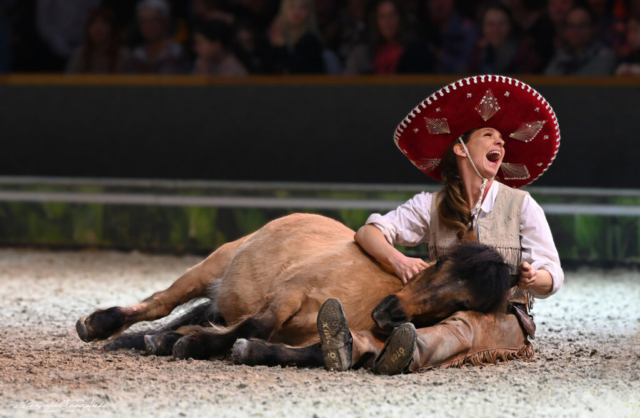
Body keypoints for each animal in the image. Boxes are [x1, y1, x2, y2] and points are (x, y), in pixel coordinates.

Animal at [76, 214, 516, 368]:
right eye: (439, 263)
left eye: (462, 302)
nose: (387, 313)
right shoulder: (289, 295)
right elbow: (256, 324)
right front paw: (193, 345)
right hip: (210, 268)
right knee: (159, 303)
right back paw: (99, 326)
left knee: (188, 316)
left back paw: (147, 340)